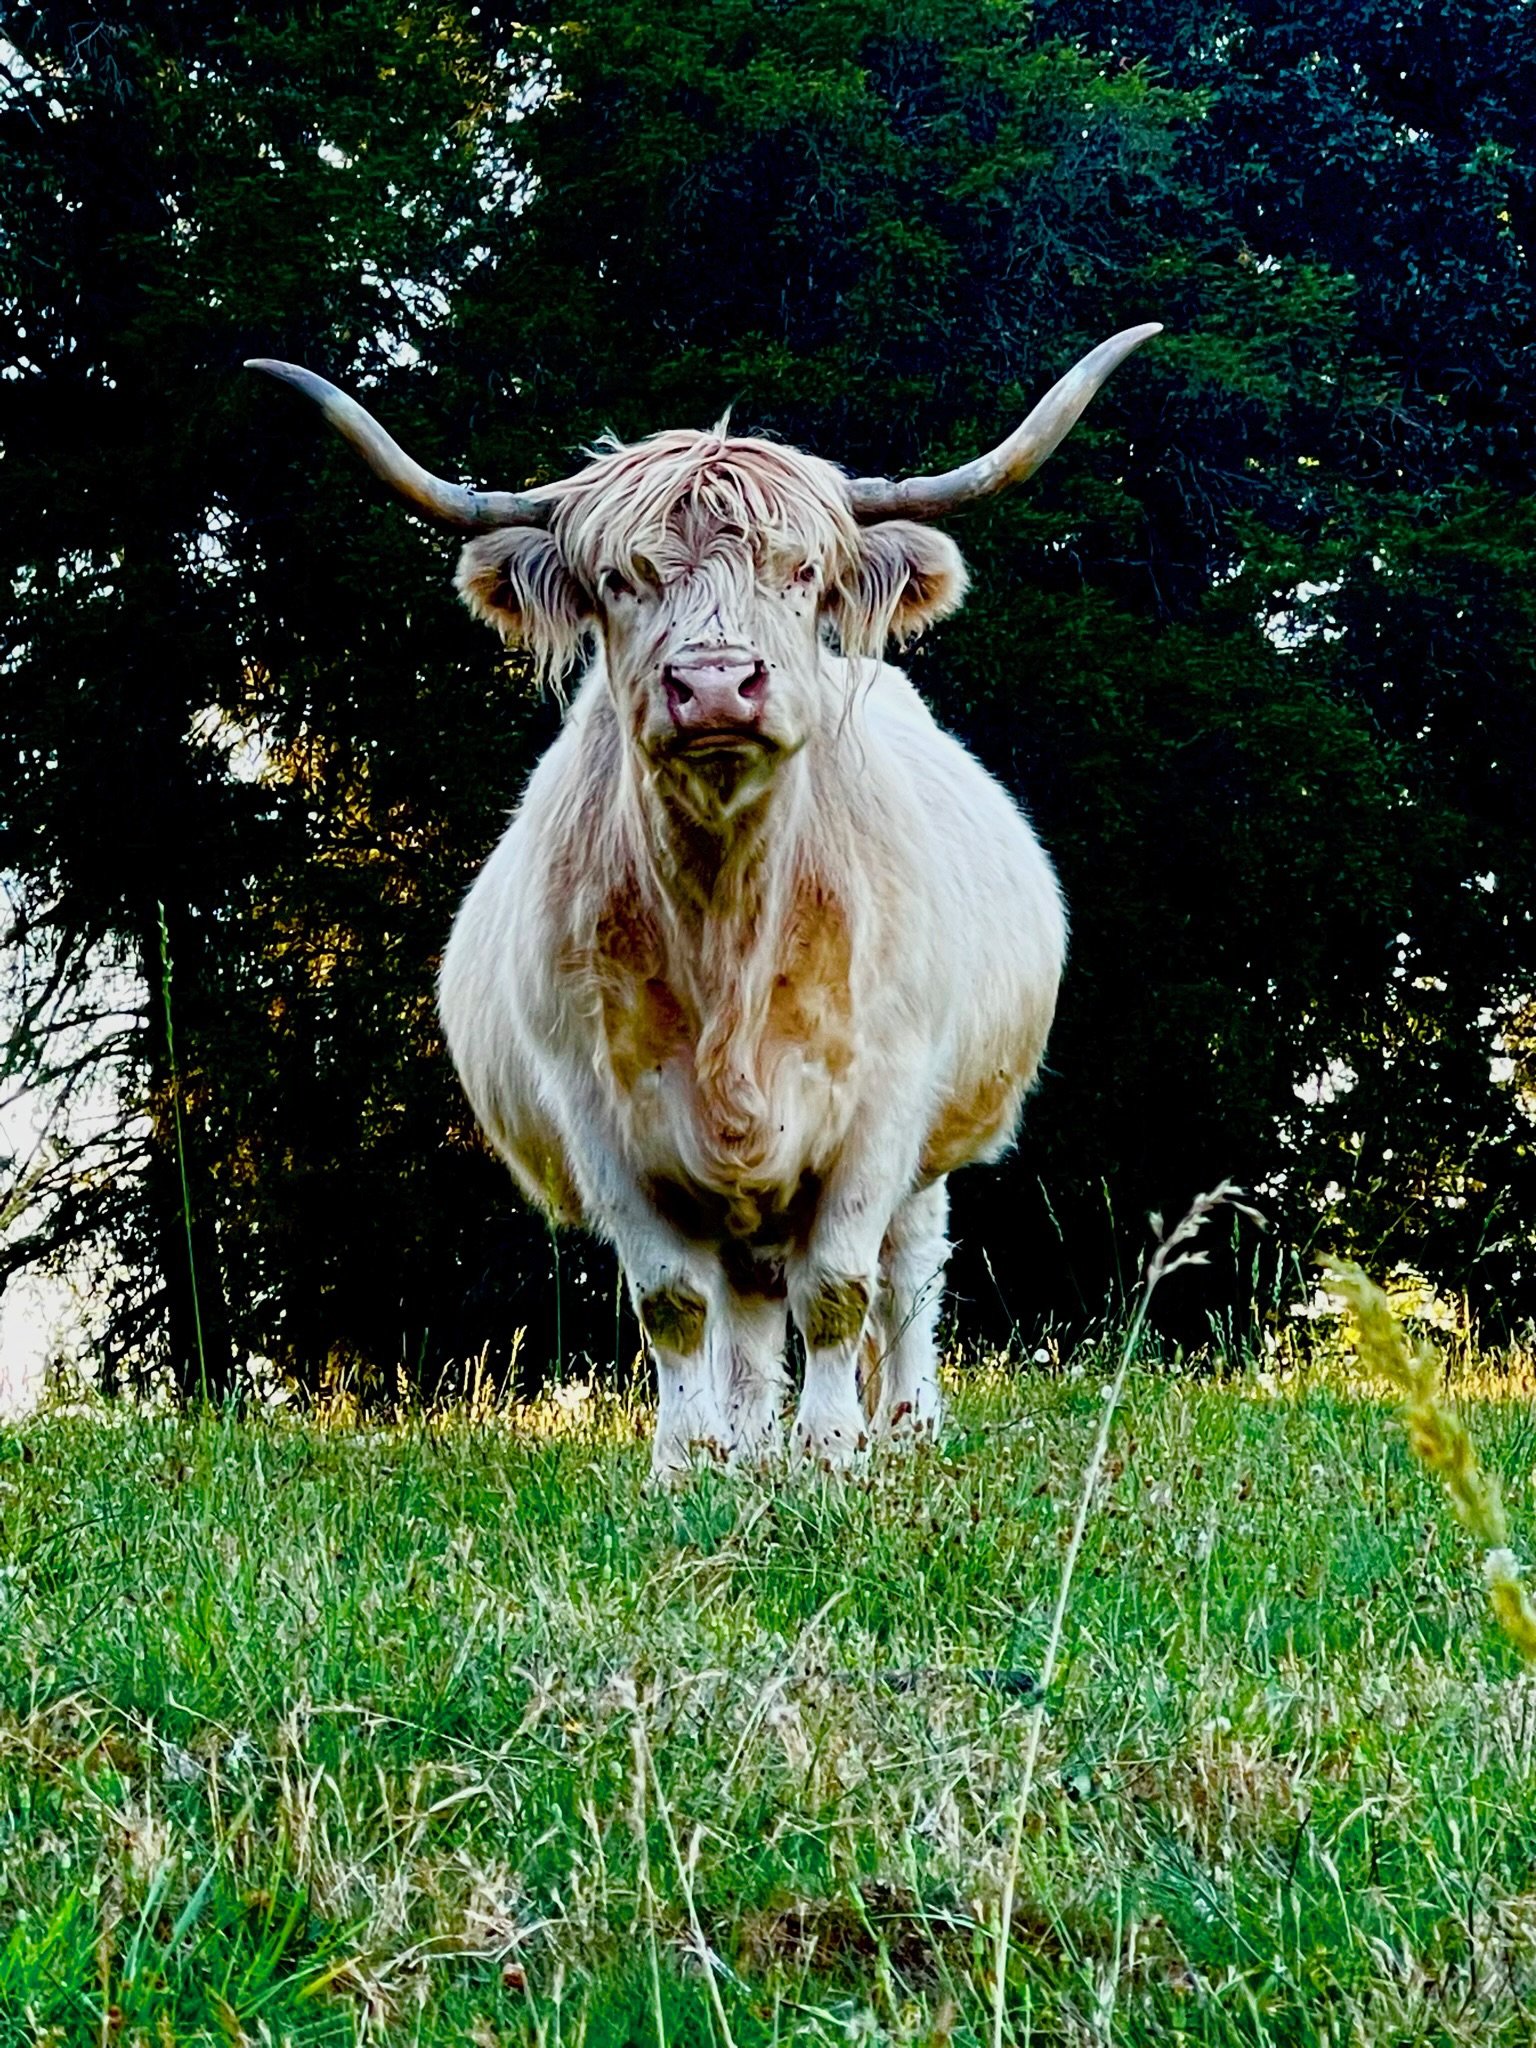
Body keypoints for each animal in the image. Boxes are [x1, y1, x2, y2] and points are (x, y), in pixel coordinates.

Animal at [249, 326, 1159, 1474]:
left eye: (802, 569)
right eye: (616, 578)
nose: (719, 684)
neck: (728, 936)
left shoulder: (880, 1108)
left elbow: (840, 1289)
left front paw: (833, 1457)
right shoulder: (607, 1125)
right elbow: (676, 1304)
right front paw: (690, 1463)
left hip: (929, 1150)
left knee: (906, 1275)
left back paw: (904, 1427)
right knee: (746, 1307)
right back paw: (749, 1442)